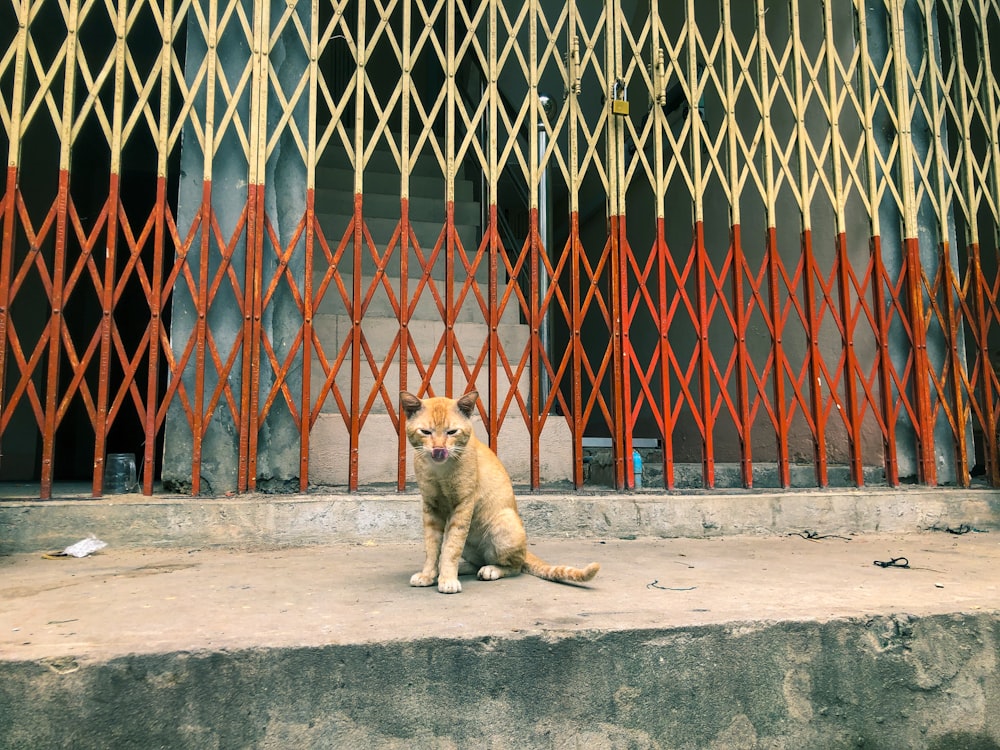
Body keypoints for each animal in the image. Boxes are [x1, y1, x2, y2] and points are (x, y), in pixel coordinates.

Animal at [400, 390, 600, 596]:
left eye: (451, 432)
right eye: (426, 432)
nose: (438, 449)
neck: (440, 470)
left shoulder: (463, 505)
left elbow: (451, 547)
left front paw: (447, 579)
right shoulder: (431, 507)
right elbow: (432, 547)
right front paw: (429, 575)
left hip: (503, 524)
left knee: (514, 566)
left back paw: (490, 570)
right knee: (479, 561)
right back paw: (461, 568)